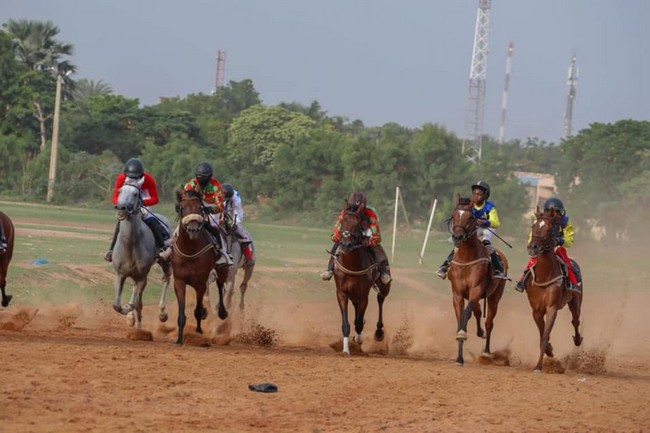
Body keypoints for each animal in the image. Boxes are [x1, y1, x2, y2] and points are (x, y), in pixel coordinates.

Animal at [111, 177, 172, 330]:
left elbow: (138, 303)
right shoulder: (121, 274)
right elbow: (117, 305)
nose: (121, 208)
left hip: (165, 261)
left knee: (166, 279)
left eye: (135, 194)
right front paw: (129, 313)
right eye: (120, 191)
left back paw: (162, 313)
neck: (130, 244)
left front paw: (138, 327)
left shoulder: (142, 277)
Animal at [170, 189, 228, 344]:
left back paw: (222, 311)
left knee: (220, 285)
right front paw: (179, 339)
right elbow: (182, 314)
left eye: (200, 208)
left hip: (222, 270)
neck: (190, 251)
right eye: (182, 208)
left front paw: (199, 331)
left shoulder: (200, 283)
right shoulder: (179, 281)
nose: (193, 230)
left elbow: (196, 310)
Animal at [332, 202, 388, 354]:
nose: (346, 244)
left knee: (381, 298)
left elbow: (358, 323)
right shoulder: (342, 293)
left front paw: (358, 339)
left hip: (384, 285)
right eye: (343, 222)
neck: (352, 266)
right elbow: (346, 324)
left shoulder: (363, 295)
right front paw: (346, 350)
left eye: (357, 225)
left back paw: (379, 332)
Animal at [446, 195, 506, 364]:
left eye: (470, 217)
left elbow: (466, 314)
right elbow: (461, 317)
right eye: (455, 215)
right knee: (478, 311)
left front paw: (462, 333)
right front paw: (459, 358)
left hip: (495, 296)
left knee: (489, 322)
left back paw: (486, 352)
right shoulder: (457, 294)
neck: (467, 259)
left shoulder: (476, 289)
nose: (457, 237)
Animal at [520, 206, 584, 372]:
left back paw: (578, 339)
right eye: (533, 226)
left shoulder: (552, 308)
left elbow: (544, 336)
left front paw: (538, 367)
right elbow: (543, 334)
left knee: (576, 320)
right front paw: (549, 350)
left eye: (549, 229)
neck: (545, 275)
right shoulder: (536, 310)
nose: (533, 247)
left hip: (575, 301)